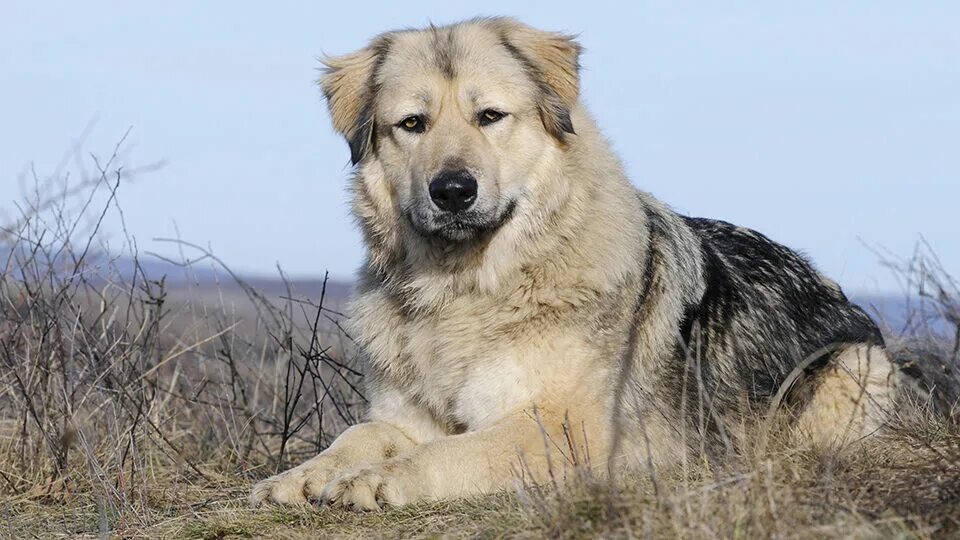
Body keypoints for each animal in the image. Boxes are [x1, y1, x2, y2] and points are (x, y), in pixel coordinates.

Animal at [249, 17, 916, 510]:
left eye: (490, 116)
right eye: (412, 124)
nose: (453, 191)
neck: (465, 292)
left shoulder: (571, 430)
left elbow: (454, 452)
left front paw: (379, 479)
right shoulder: (407, 415)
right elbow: (362, 434)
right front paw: (303, 474)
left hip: (859, 367)